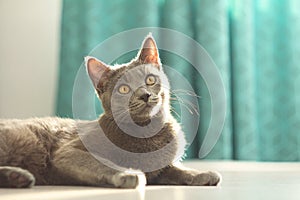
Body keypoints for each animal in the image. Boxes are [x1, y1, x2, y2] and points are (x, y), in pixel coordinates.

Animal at [0, 34, 220, 188]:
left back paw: (18, 177)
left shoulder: (161, 168)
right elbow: (101, 163)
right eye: (123, 89)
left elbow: (175, 170)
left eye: (150, 79)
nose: (144, 95)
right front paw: (128, 174)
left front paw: (201, 174)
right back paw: (19, 176)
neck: (146, 134)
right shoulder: (68, 151)